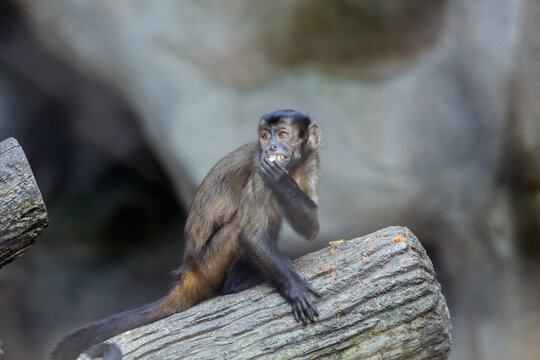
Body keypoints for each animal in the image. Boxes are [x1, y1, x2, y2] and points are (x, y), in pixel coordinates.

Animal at [49, 109, 320, 360]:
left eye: (282, 135)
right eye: (265, 136)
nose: (271, 146)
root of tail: (189, 271)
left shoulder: (311, 161)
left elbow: (311, 228)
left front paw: (283, 183)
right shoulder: (259, 171)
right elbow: (250, 234)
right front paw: (294, 289)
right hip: (209, 263)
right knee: (237, 228)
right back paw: (237, 283)